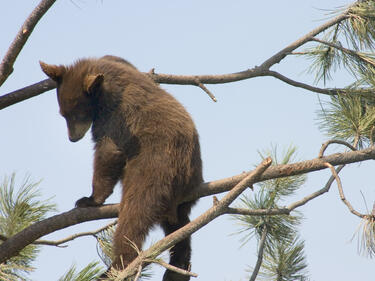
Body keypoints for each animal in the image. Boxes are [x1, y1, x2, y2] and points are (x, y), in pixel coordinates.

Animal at [39, 55, 203, 278]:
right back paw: (178, 268)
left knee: (134, 215)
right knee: (179, 227)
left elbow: (109, 152)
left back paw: (116, 266)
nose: (72, 138)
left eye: (76, 114)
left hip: (155, 169)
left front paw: (90, 199)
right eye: (63, 114)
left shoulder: (117, 115)